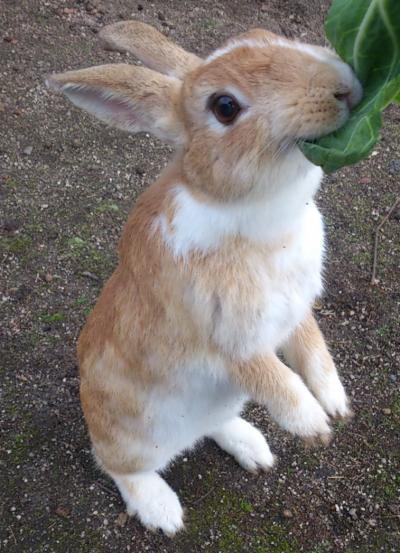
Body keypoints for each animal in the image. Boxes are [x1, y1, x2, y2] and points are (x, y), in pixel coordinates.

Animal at [45, 21, 360, 536]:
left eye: (266, 35)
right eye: (224, 107)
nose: (346, 88)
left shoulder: (297, 313)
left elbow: (315, 354)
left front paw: (336, 405)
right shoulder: (230, 342)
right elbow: (278, 381)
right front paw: (315, 427)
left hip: (222, 402)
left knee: (213, 425)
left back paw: (254, 449)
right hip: (131, 436)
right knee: (116, 465)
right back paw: (162, 511)